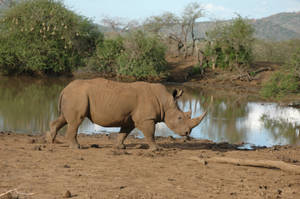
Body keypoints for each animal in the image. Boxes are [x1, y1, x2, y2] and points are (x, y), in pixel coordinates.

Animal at [46, 77, 206, 149]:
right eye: (180, 117)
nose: (187, 133)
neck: (165, 101)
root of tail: (64, 89)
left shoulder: (130, 118)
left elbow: (124, 132)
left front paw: (120, 147)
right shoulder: (146, 118)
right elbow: (150, 133)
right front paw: (156, 148)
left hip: (73, 96)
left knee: (65, 118)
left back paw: (51, 140)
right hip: (78, 96)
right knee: (75, 120)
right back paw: (76, 147)